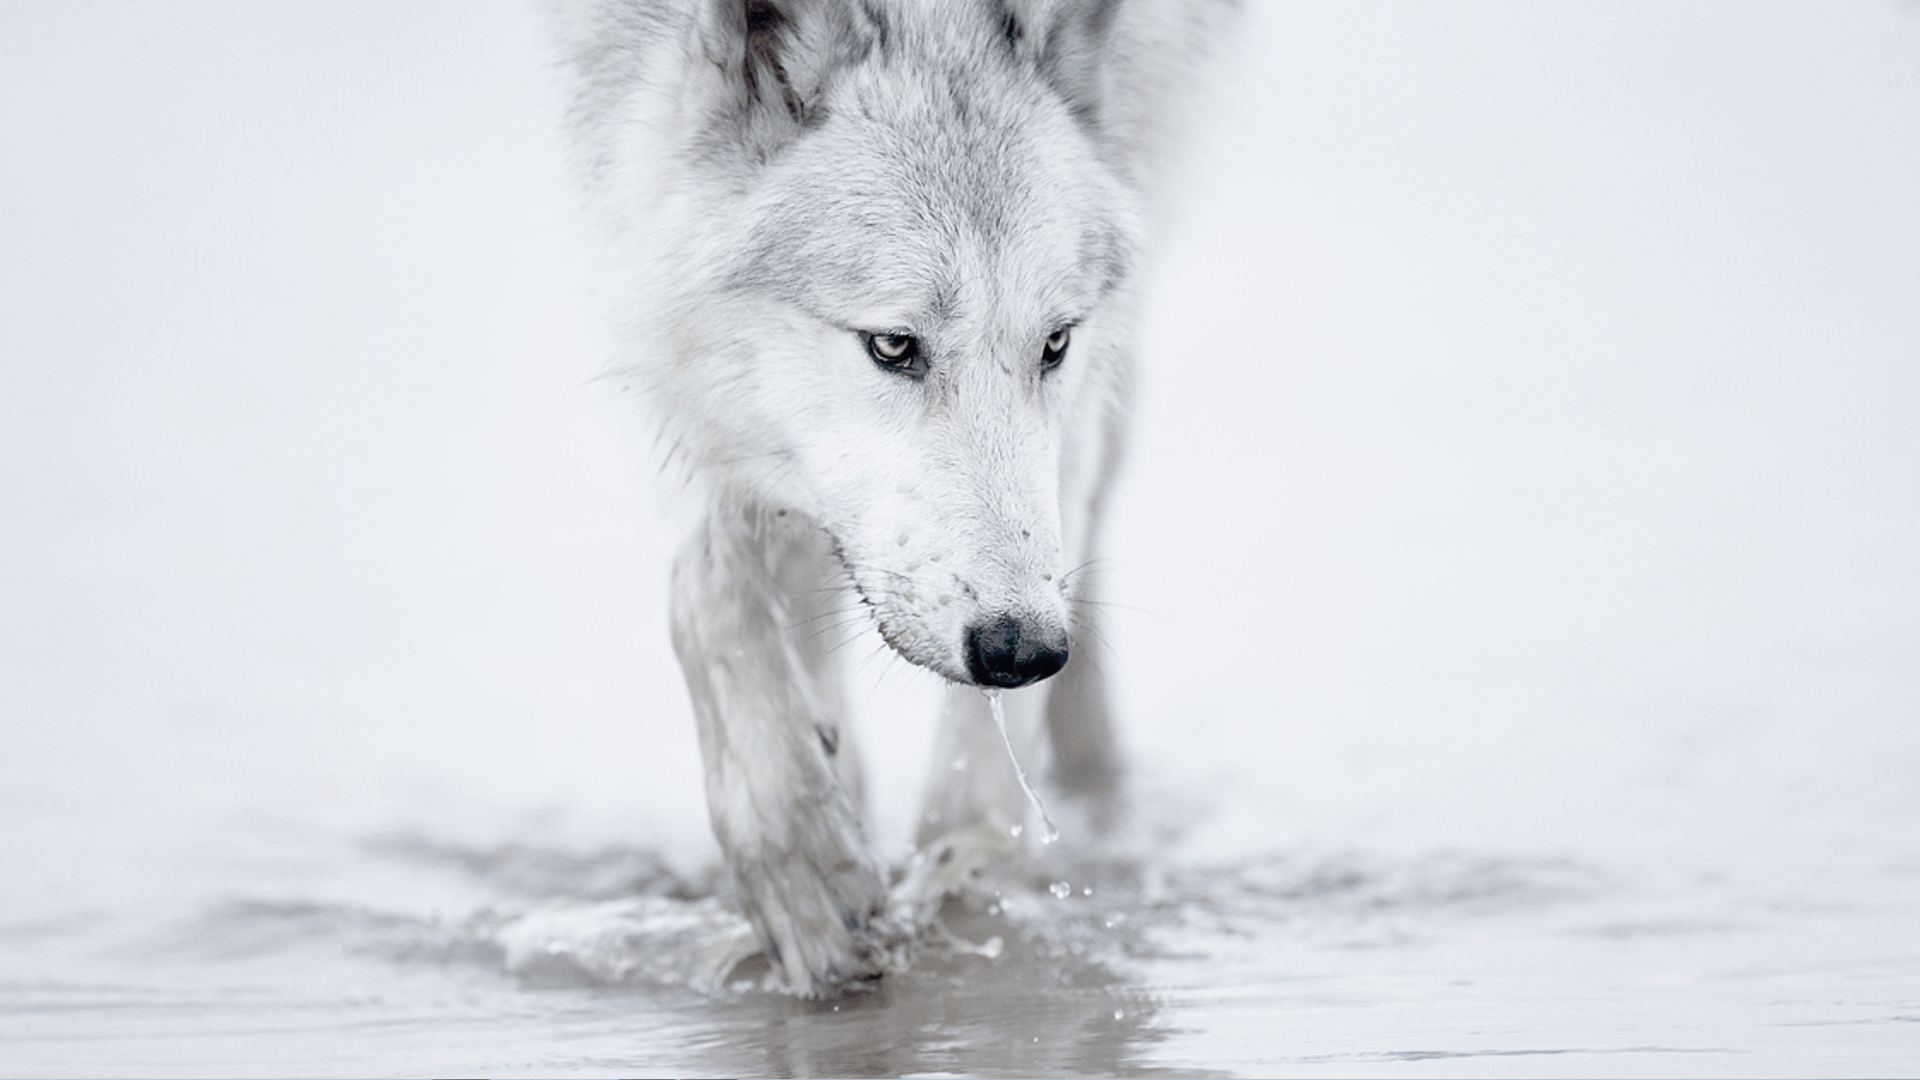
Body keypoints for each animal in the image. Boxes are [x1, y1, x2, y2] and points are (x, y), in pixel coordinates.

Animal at [554, 0, 1231, 996]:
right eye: (893, 346)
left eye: (1055, 343)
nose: (1024, 649)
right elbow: (709, 585)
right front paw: (804, 860)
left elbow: (978, 770)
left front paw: (963, 885)